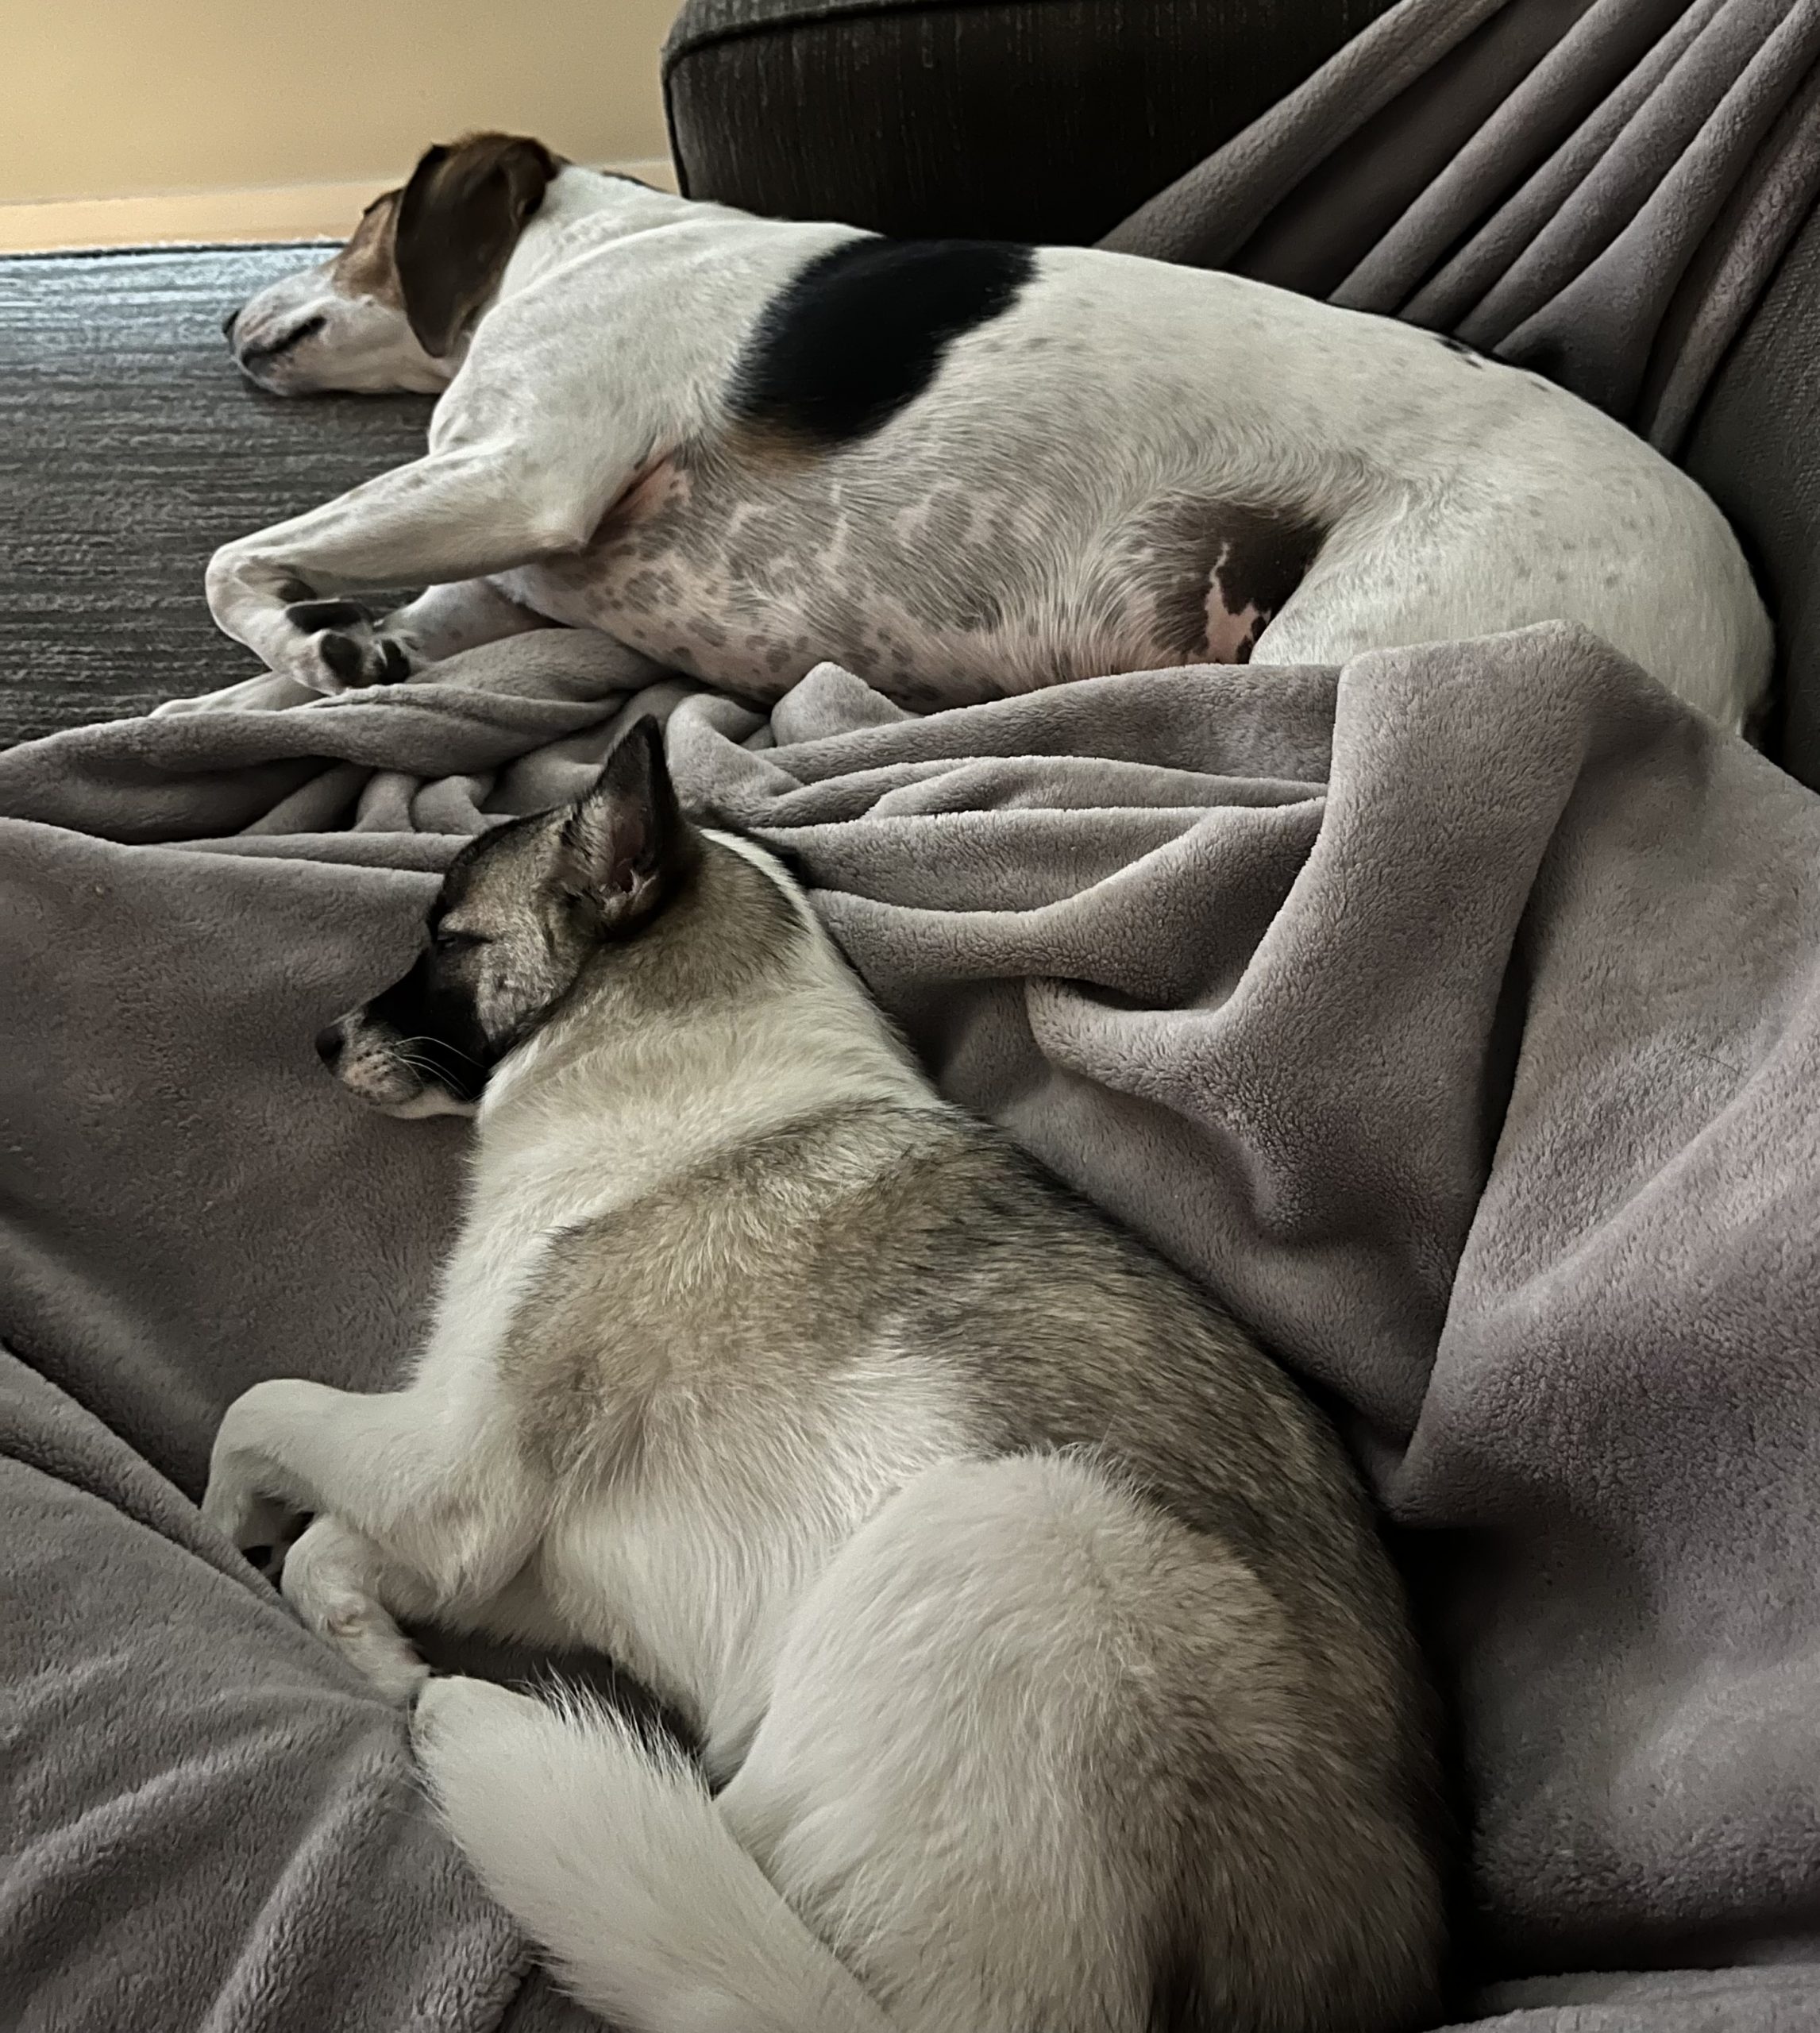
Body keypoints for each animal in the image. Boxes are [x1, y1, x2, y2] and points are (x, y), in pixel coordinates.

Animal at [199, 132, 1770, 728]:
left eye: (363, 221)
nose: (221, 318)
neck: (584, 244)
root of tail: (1750, 625)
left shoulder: (526, 474)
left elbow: (228, 566)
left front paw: (310, 640)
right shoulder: (519, 571)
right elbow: (356, 632)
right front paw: (323, 658)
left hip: (1358, 651)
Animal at [201, 718, 1447, 2033]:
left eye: (447, 938)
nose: (320, 1040)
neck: (665, 1052)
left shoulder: (452, 1477)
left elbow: (260, 1411)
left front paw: (228, 1524)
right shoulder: (520, 1554)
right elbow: (333, 1545)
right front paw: (365, 1642)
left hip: (1012, 1530)